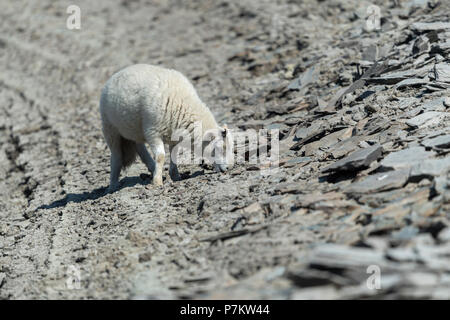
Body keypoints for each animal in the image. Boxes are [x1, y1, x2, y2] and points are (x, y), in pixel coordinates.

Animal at [99, 63, 232, 191]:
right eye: (220, 148)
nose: (228, 169)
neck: (182, 105)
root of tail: (117, 73)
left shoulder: (174, 135)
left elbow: (174, 154)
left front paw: (175, 175)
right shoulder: (153, 132)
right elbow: (161, 156)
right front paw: (157, 182)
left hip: (135, 130)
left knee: (139, 147)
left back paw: (151, 167)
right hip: (110, 128)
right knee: (116, 157)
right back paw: (113, 185)